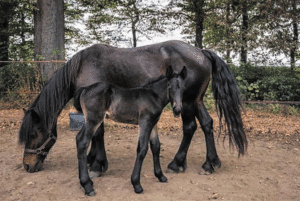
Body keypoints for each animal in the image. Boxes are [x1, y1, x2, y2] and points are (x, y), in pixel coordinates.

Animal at [74, 66, 186, 195]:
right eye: (169, 87)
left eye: (183, 88)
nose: (177, 110)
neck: (153, 96)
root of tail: (84, 89)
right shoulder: (145, 122)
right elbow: (142, 149)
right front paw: (137, 184)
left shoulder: (153, 124)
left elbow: (156, 147)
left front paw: (160, 176)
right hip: (94, 120)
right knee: (83, 142)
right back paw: (87, 186)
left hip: (89, 120)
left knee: (78, 138)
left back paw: (88, 183)